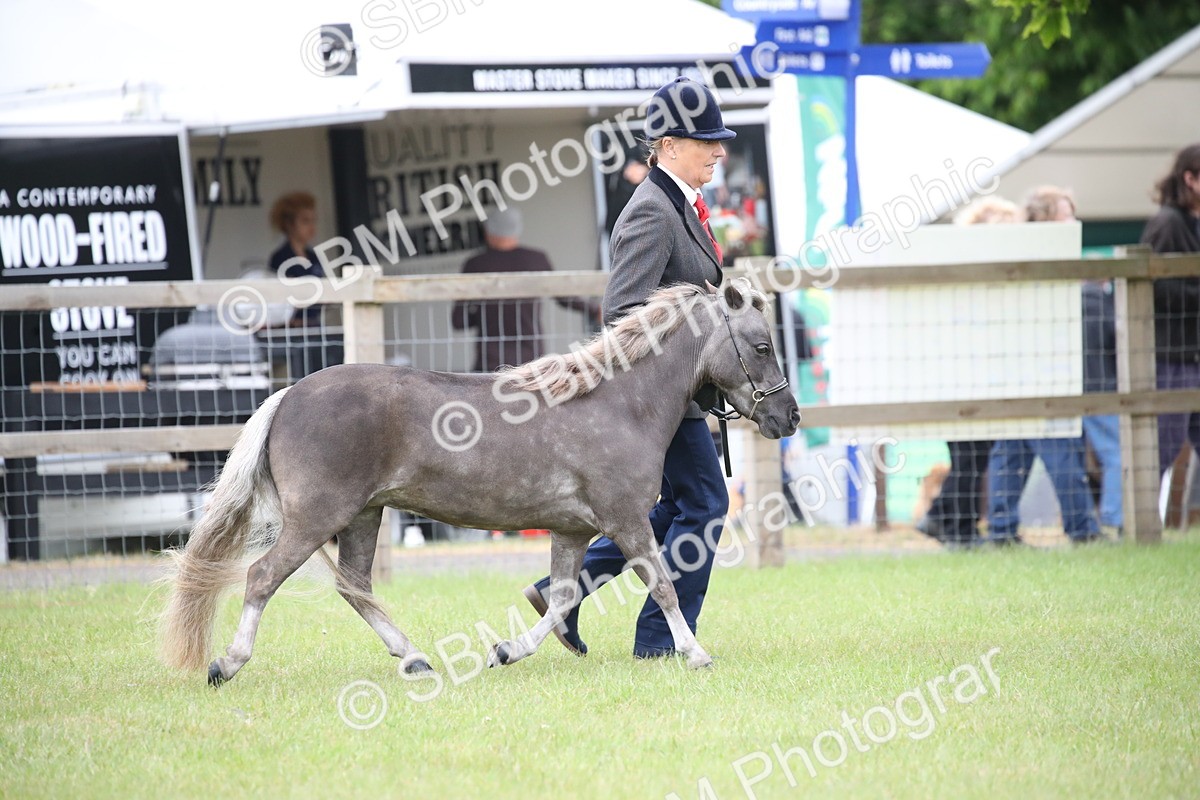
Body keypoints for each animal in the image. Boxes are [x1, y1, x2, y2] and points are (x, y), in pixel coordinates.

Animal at [158, 277, 800, 685]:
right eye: (762, 344)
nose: (788, 417)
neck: (618, 403)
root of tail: (288, 394)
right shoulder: (625, 520)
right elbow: (663, 584)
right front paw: (696, 654)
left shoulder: (572, 529)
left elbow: (561, 596)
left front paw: (507, 651)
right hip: (318, 516)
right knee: (263, 578)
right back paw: (226, 664)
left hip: (363, 516)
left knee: (355, 587)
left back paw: (414, 659)